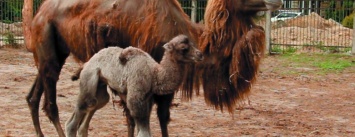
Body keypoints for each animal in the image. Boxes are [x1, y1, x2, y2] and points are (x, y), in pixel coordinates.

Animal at [64, 35, 203, 137]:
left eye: (192, 44)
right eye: (184, 48)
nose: (200, 54)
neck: (154, 74)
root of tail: (87, 63)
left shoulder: (147, 100)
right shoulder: (136, 99)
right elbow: (144, 133)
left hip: (100, 84)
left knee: (95, 103)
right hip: (90, 77)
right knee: (79, 113)